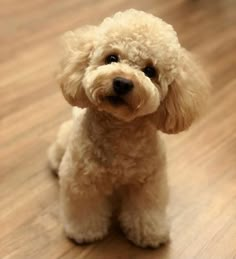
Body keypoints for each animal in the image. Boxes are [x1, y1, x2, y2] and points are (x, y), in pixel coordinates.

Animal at [47, 9, 209, 249]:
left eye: (150, 71)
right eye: (112, 58)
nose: (122, 82)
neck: (119, 130)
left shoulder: (148, 183)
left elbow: (145, 210)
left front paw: (149, 233)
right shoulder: (81, 180)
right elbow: (85, 209)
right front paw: (84, 232)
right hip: (64, 144)